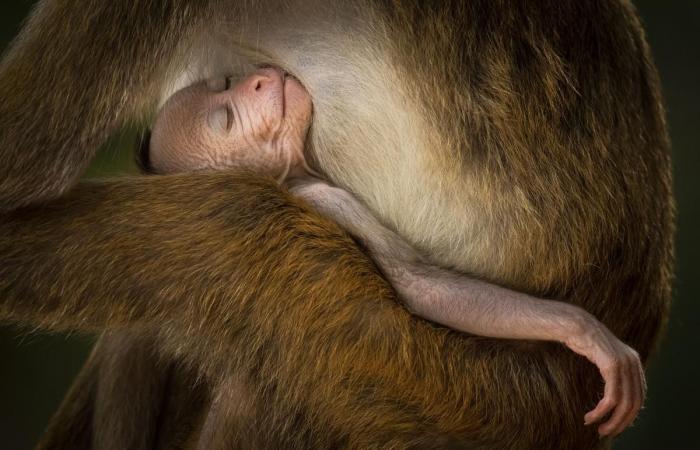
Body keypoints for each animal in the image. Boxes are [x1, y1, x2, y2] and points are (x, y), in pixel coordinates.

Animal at [134, 67, 644, 436]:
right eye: (225, 121)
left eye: (224, 86)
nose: (257, 79)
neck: (292, 177)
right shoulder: (331, 199)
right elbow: (418, 287)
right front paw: (583, 331)